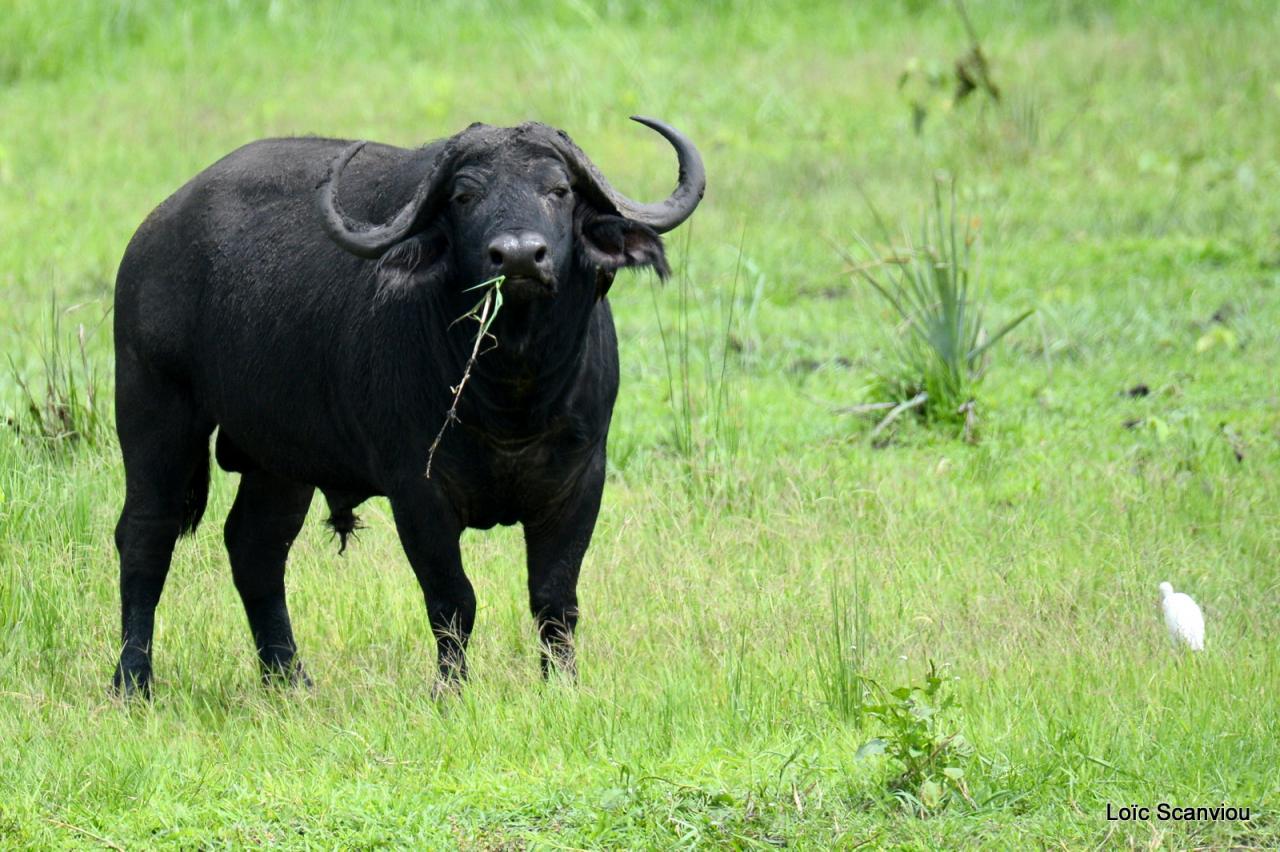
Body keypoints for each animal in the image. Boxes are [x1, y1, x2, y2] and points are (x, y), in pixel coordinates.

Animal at [110, 116, 706, 695]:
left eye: (558, 189)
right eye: (464, 196)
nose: (517, 256)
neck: (512, 397)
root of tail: (153, 233)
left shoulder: (579, 481)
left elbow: (554, 599)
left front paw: (562, 686)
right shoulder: (417, 492)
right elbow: (453, 600)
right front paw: (451, 691)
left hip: (278, 459)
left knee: (255, 546)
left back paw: (289, 679)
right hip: (153, 409)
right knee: (146, 535)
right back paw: (134, 681)